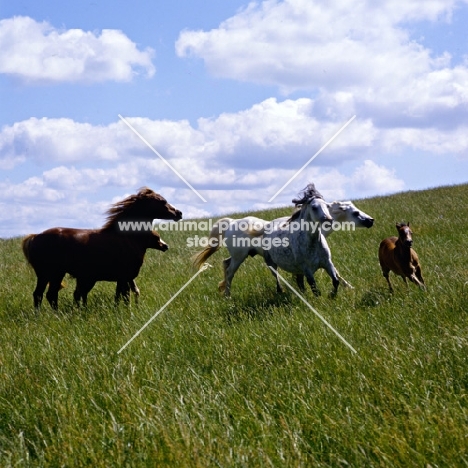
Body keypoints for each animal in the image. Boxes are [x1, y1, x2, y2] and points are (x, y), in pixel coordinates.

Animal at [22, 186, 182, 310]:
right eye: (162, 201)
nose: (179, 213)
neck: (128, 237)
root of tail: (34, 237)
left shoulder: (122, 278)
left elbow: (120, 296)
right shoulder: (125, 277)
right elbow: (125, 297)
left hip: (45, 275)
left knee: (40, 295)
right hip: (53, 273)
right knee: (49, 295)